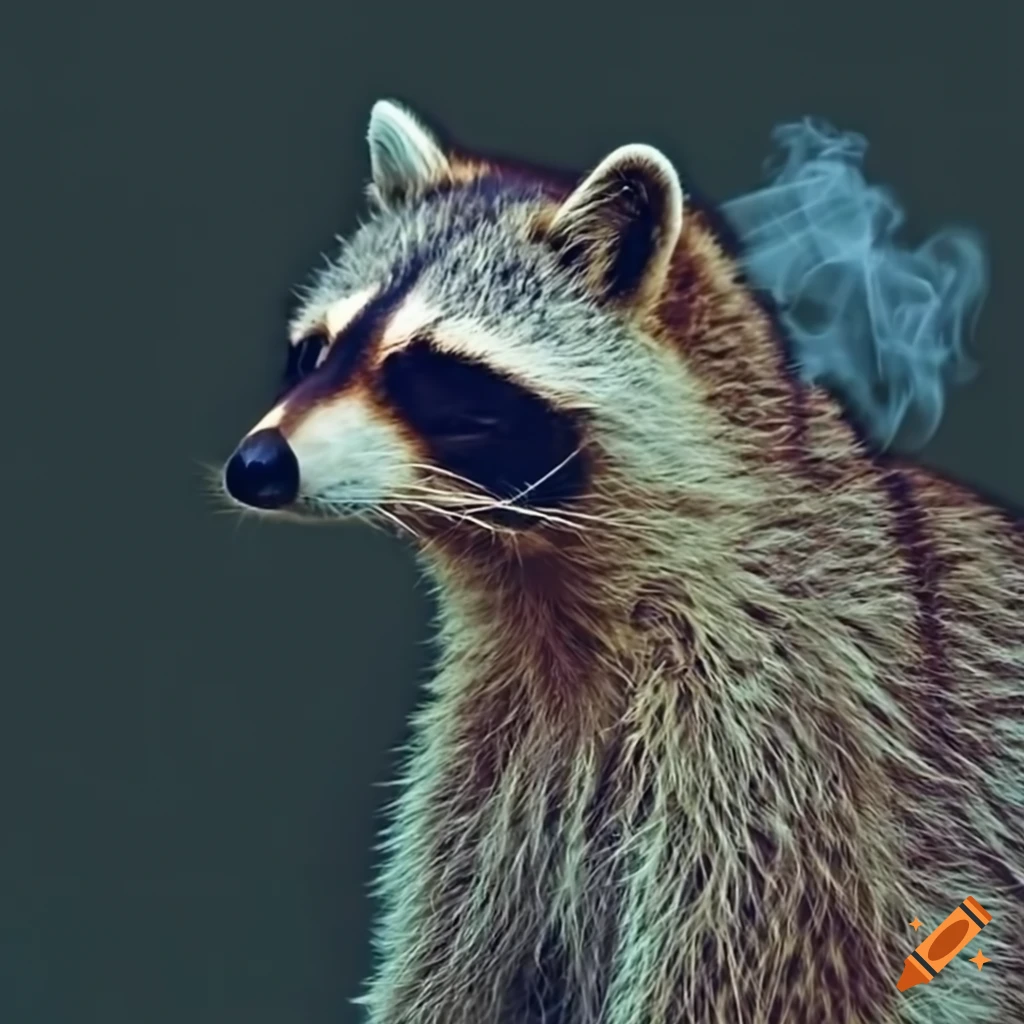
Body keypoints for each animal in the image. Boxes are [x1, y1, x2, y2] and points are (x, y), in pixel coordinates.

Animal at [221, 100, 1024, 1023]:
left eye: (430, 372)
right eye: (314, 352)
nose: (256, 466)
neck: (546, 586)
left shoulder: (785, 728)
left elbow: (743, 974)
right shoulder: (492, 749)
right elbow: (455, 966)